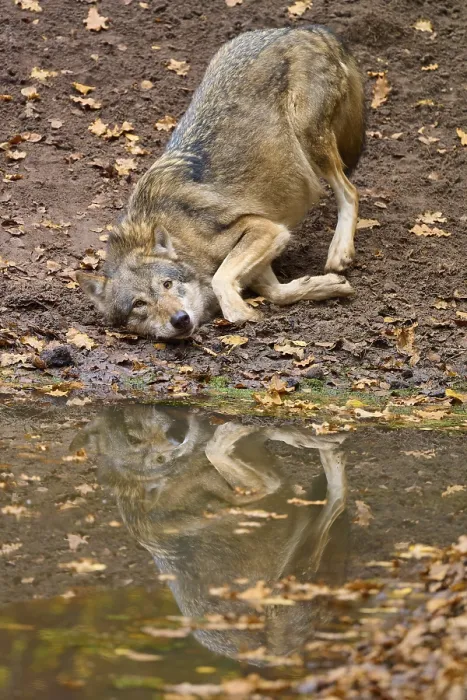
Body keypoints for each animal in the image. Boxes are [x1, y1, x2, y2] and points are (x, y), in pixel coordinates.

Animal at [77, 26, 365, 339]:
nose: (179, 319)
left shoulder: (263, 228)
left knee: (350, 192)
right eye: (139, 304)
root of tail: (306, 29)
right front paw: (325, 286)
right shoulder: (268, 243)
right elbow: (276, 292)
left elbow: (221, 278)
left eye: (167, 284)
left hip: (309, 139)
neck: (182, 238)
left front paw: (241, 315)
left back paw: (339, 252)